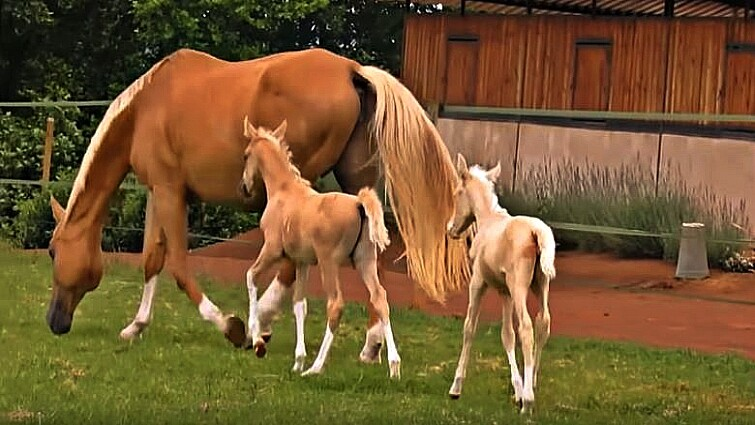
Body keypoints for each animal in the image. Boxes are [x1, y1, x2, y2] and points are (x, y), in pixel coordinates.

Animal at [45, 47, 470, 348]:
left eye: (51, 251)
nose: (54, 322)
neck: (145, 108)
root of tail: (353, 71)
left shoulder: (170, 193)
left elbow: (179, 265)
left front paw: (231, 326)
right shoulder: (157, 192)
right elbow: (152, 259)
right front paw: (136, 326)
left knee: (292, 262)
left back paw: (261, 318)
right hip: (356, 183)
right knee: (370, 258)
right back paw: (373, 339)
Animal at [239, 118, 399, 378]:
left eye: (245, 155)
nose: (244, 187)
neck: (284, 191)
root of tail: (359, 203)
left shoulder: (272, 250)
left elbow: (251, 277)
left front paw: (257, 340)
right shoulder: (301, 261)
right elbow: (299, 304)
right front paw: (297, 360)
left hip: (329, 263)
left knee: (335, 305)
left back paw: (316, 367)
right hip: (365, 261)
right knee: (380, 299)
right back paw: (394, 366)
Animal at [445, 154, 556, 414]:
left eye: (457, 192)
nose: (450, 229)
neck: (488, 219)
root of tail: (536, 231)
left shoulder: (478, 282)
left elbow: (469, 327)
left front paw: (456, 388)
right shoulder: (505, 292)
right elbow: (507, 334)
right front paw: (517, 388)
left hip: (519, 286)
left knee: (527, 327)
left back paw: (528, 401)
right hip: (540, 284)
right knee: (543, 322)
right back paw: (532, 384)